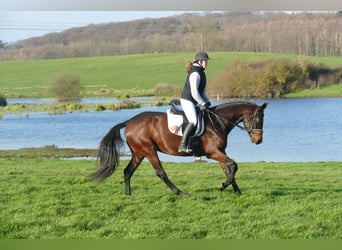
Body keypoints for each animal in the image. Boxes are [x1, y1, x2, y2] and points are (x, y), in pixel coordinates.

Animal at [91, 101, 268, 195]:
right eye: (258, 119)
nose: (258, 140)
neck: (218, 122)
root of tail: (129, 121)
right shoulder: (213, 153)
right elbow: (234, 165)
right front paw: (223, 186)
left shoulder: (220, 152)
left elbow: (228, 169)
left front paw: (236, 191)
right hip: (149, 150)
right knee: (160, 172)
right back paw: (180, 193)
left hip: (138, 153)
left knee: (128, 171)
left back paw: (128, 194)